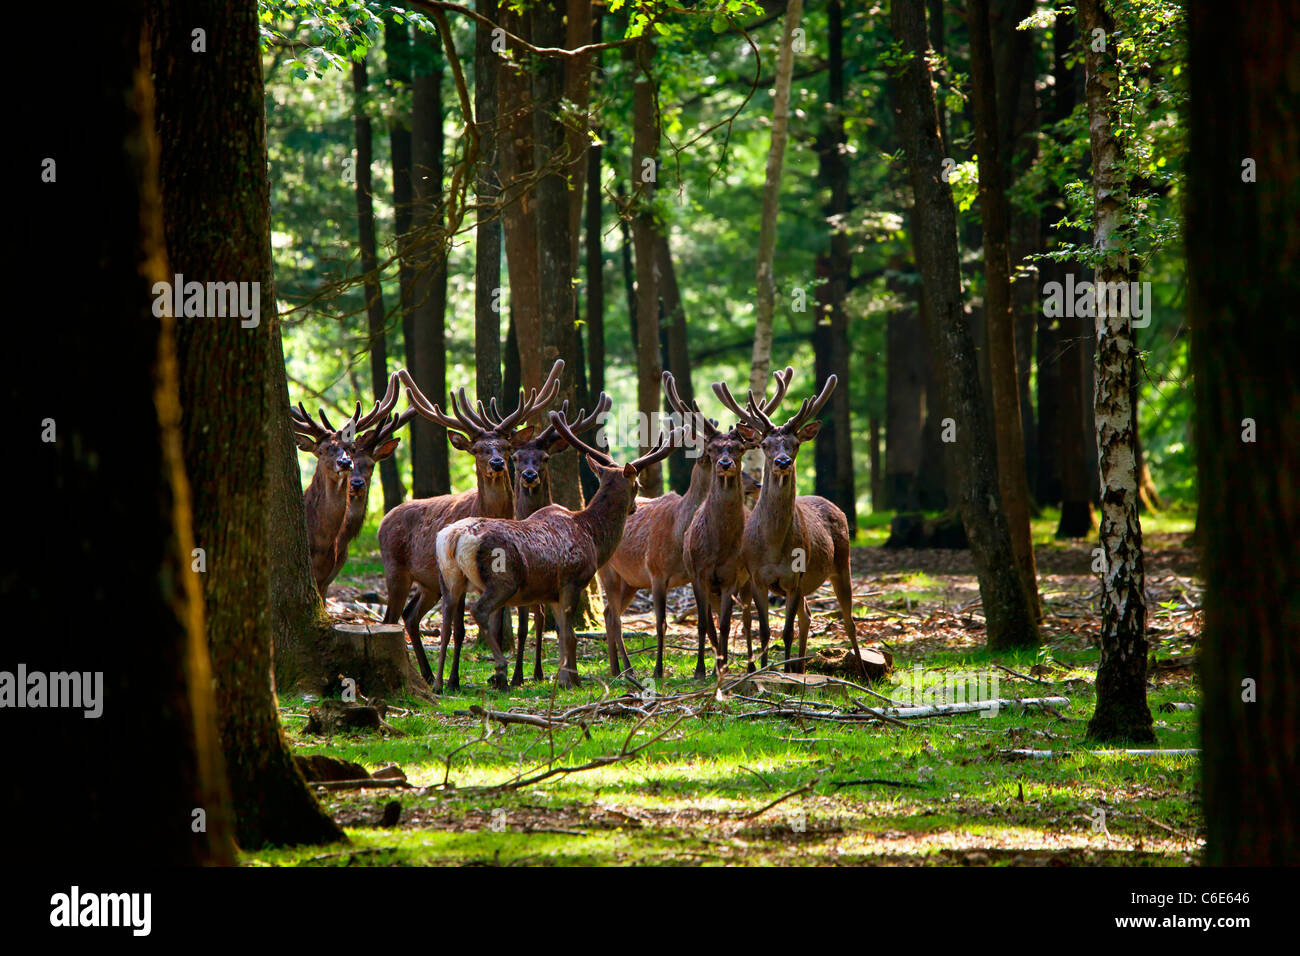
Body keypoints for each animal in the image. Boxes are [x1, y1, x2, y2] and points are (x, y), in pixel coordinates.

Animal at [374, 361, 561, 686]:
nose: (497, 463)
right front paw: (453, 680)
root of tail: (384, 519)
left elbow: (496, 622)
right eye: (478, 449)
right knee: (390, 618)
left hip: (428, 583)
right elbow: (459, 628)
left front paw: (499, 678)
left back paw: (426, 673)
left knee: (410, 616)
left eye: (506, 447)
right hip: (396, 569)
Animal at [436, 408, 681, 691]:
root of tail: (455, 537)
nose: (634, 508)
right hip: (502, 579)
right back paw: (500, 669)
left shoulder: (552, 591)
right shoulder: (572, 579)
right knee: (479, 611)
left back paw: (440, 683)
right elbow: (570, 634)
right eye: (637, 485)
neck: (591, 535)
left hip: (450, 579)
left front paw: (567, 676)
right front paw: (568, 680)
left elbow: (563, 634)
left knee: (446, 623)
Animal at [595, 369, 774, 676]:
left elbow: (713, 623)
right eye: (709, 453)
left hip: (631, 581)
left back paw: (618, 668)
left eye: (740, 450)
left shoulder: (694, 576)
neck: (679, 532)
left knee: (610, 613)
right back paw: (624, 669)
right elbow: (662, 623)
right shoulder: (657, 574)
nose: (756, 484)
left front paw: (717, 666)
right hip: (608, 571)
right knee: (613, 615)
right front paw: (660, 670)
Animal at [717, 369, 868, 676]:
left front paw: (784, 673)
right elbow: (765, 631)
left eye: (795, 444)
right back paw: (800, 666)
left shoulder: (795, 578)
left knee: (848, 619)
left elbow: (786, 632)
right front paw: (764, 672)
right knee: (808, 616)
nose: (783, 462)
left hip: (841, 562)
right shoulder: (757, 577)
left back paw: (860, 671)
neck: (775, 547)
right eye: (765, 445)